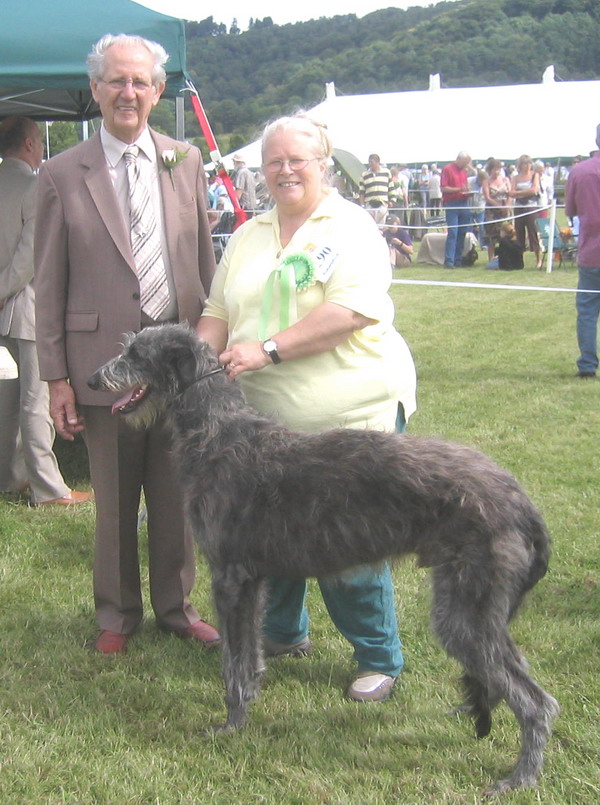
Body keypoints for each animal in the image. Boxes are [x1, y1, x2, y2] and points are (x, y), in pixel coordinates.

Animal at [88, 324, 556, 796]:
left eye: (135, 354)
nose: (92, 380)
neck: (218, 432)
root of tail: (521, 501)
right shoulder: (253, 581)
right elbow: (250, 655)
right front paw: (248, 702)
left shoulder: (230, 578)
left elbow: (233, 662)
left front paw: (231, 723)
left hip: (464, 612)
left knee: (538, 702)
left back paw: (519, 778)